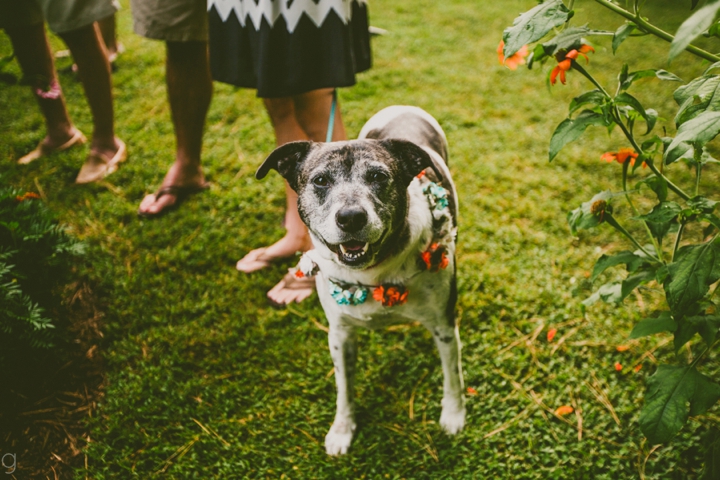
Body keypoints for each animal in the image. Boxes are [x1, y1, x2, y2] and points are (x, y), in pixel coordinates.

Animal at [256, 105, 464, 454]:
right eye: (321, 180)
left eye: (379, 177)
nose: (351, 217)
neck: (374, 272)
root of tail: (402, 107)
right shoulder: (340, 336)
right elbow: (344, 388)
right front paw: (342, 430)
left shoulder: (444, 326)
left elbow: (453, 375)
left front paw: (454, 415)